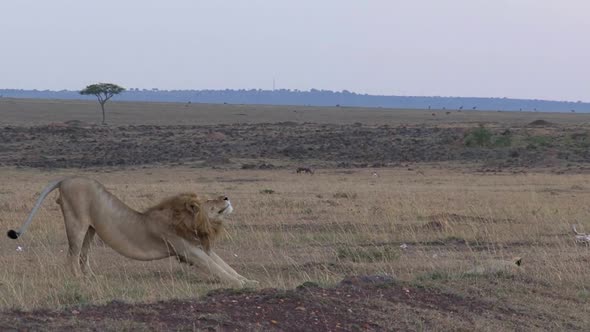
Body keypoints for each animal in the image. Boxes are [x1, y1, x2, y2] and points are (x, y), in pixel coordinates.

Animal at [5, 176, 260, 288]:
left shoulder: (199, 247)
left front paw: (248, 279)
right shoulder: (188, 250)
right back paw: (78, 279)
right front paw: (241, 284)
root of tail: (66, 178)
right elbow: (217, 269)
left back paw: (92, 277)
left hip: (90, 229)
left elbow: (226, 265)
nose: (226, 196)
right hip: (76, 222)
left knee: (83, 255)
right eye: (209, 201)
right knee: (72, 254)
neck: (188, 222)